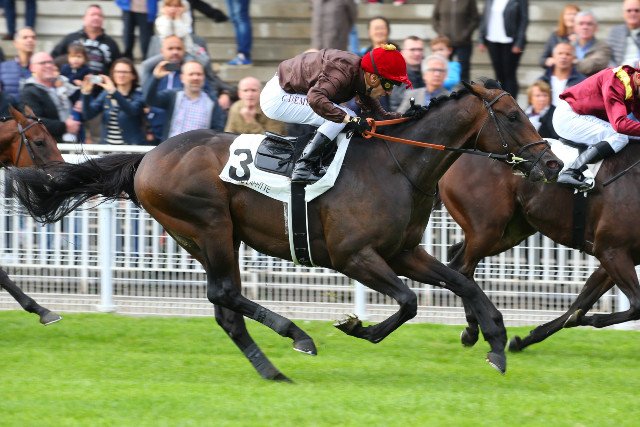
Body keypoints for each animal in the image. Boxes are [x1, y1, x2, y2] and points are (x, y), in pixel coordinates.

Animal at [7, 81, 562, 380]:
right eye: (513, 115)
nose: (553, 164)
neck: (396, 164)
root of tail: (147, 158)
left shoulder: (403, 252)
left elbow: (463, 281)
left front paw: (495, 342)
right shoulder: (355, 256)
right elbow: (408, 302)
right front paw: (357, 327)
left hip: (208, 236)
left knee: (225, 308)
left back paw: (273, 368)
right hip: (209, 225)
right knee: (225, 293)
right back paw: (297, 336)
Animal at [439, 140, 640, 352]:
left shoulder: (617, 257)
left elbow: (580, 303)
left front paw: (525, 340)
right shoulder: (611, 251)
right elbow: (636, 306)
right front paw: (591, 319)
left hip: (508, 233)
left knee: (456, 261)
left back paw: (471, 329)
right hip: (486, 229)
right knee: (463, 268)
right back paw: (478, 327)